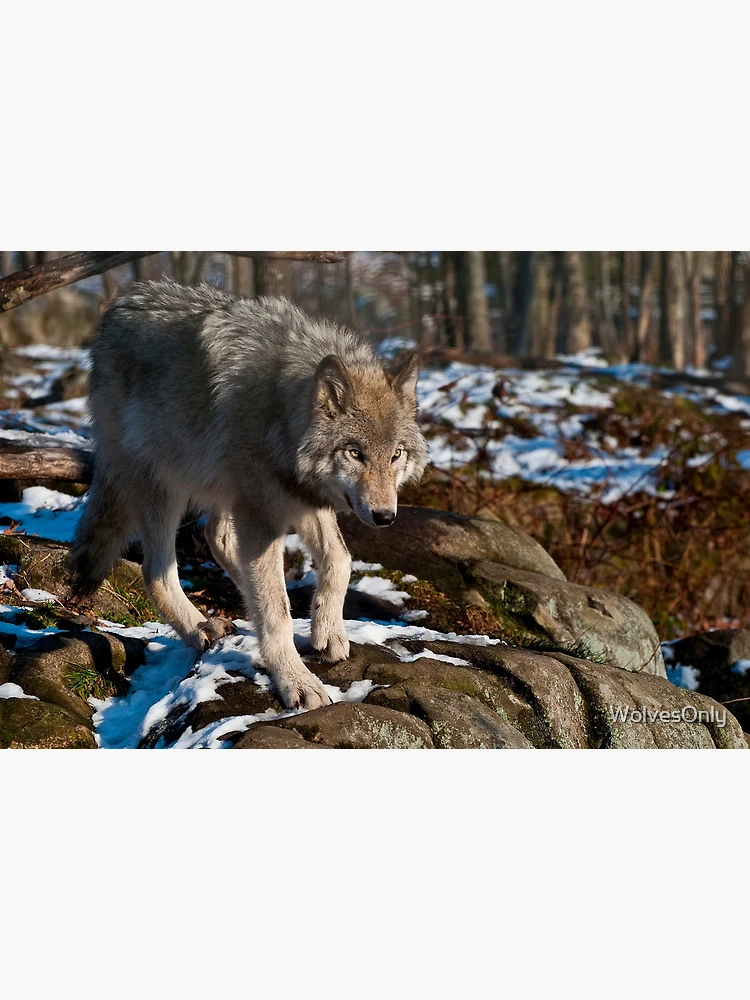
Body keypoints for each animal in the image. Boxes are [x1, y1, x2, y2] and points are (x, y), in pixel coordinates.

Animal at [69, 280, 428, 710]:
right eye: (355, 453)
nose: (385, 516)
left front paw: (328, 631)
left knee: (218, 538)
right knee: (156, 572)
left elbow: (340, 560)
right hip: (165, 485)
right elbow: (276, 612)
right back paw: (200, 628)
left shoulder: (301, 498)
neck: (280, 414)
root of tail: (118, 307)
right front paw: (295, 681)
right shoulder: (264, 512)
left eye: (396, 455)